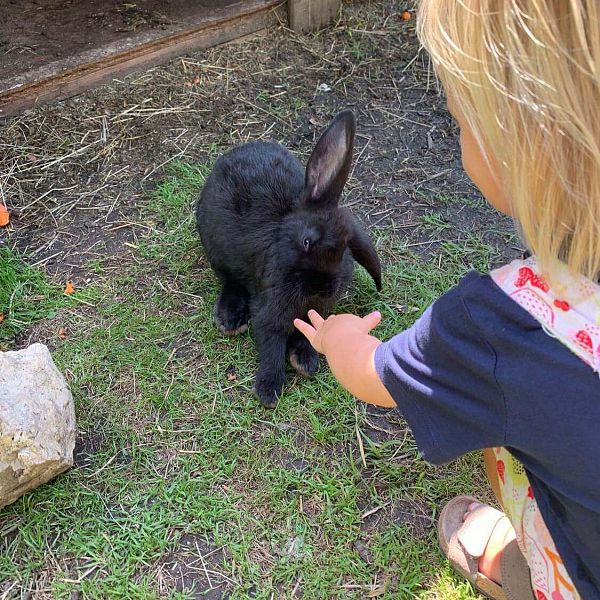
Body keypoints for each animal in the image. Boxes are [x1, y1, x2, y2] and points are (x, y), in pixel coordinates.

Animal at [196, 111, 380, 408]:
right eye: (306, 242)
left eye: (345, 250)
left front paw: (305, 361)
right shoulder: (269, 310)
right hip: (215, 248)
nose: (321, 287)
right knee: (229, 280)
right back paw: (231, 319)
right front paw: (268, 389)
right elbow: (271, 343)